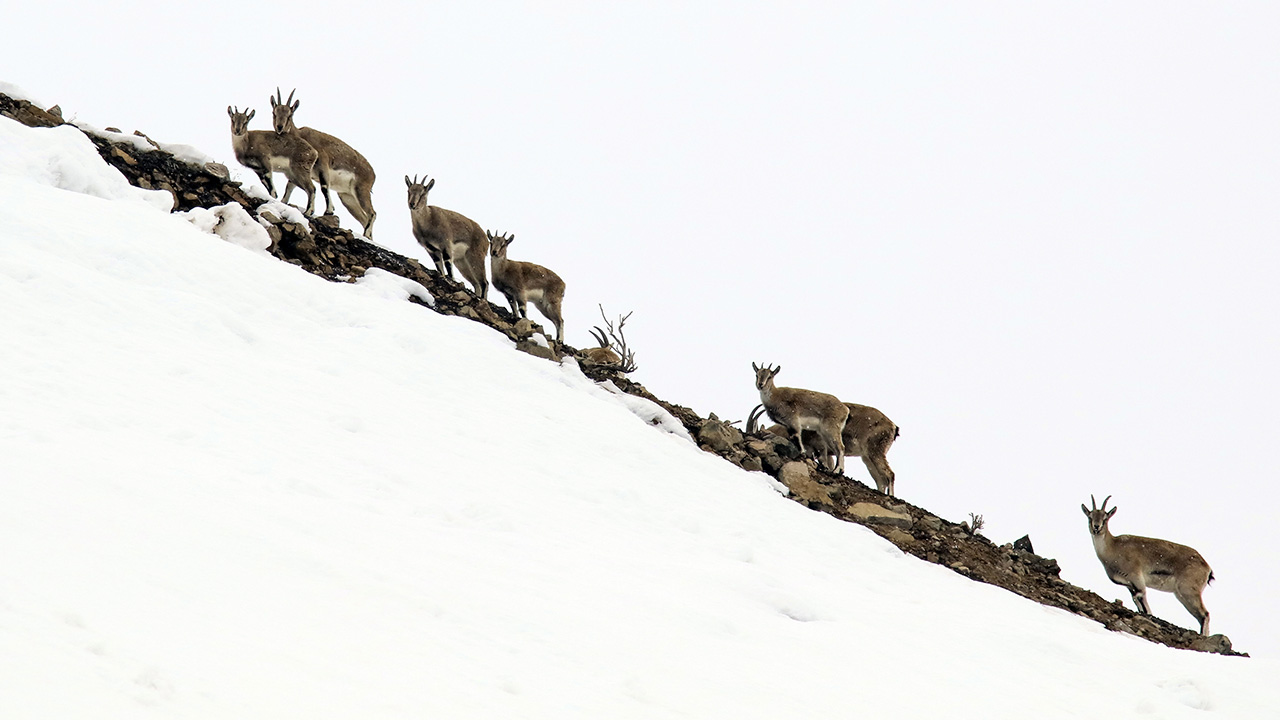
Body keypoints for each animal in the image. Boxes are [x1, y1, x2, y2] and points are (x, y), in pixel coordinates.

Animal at [266, 88, 373, 237]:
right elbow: (289, 187)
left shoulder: (323, 165)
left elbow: (323, 187)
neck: (301, 136)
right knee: (364, 218)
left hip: (361, 191)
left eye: (290, 114)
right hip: (347, 197)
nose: (280, 127)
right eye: (274, 113)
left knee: (372, 213)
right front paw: (283, 202)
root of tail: (372, 174)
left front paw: (324, 211)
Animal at [747, 397, 901, 491]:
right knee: (880, 480)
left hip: (875, 452)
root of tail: (893, 427)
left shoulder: (821, 447)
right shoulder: (826, 454)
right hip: (867, 458)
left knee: (890, 475)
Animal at [1085, 491, 1213, 632]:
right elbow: (1139, 603)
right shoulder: (1130, 585)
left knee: (1205, 614)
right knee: (1201, 617)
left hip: (1189, 591)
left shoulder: (1138, 580)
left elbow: (1143, 602)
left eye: (1105, 518)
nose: (1096, 527)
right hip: (1182, 595)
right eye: (1090, 517)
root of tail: (1207, 568)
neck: (1113, 547)